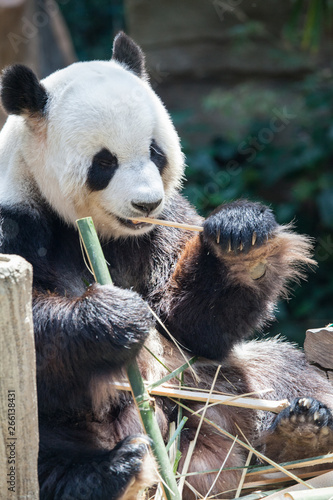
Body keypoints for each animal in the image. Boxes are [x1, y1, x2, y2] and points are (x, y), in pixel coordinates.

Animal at [0, 31, 332, 500]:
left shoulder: (162, 225)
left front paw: (241, 239)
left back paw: (300, 432)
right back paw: (111, 471)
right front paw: (115, 316)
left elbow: (191, 324)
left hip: (208, 389)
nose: (146, 203)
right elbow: (29, 329)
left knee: (277, 369)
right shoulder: (15, 221)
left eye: (155, 152)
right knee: (42, 445)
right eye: (104, 162)